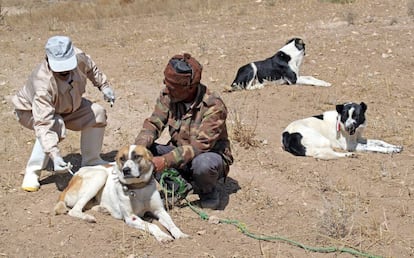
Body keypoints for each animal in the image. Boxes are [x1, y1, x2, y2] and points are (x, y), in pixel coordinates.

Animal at [54, 145, 188, 242]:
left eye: (137, 156)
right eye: (122, 158)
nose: (126, 170)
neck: (138, 188)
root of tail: (73, 178)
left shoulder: (160, 210)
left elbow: (172, 224)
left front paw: (180, 234)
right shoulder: (131, 217)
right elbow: (152, 226)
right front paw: (163, 236)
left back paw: (102, 209)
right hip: (100, 175)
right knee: (74, 210)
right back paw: (88, 217)